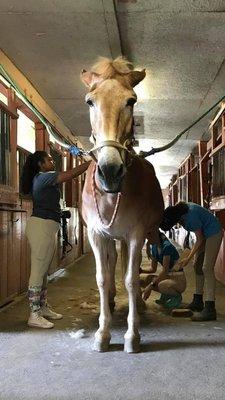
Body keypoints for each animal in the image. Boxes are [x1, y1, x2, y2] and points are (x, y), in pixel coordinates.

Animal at [81, 57, 163, 354]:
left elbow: (130, 278)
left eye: (131, 100)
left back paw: (137, 303)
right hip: (112, 236)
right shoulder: (96, 234)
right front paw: (102, 333)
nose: (110, 171)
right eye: (90, 102)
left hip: (135, 236)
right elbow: (103, 278)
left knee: (131, 265)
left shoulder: (136, 234)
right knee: (115, 262)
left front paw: (132, 335)